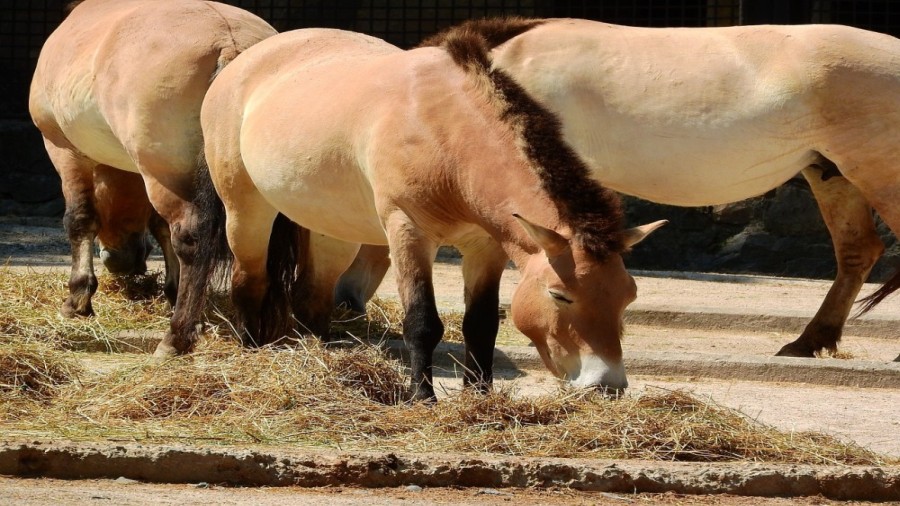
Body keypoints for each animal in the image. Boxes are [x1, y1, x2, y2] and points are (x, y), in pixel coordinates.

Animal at [29, 0, 276, 338]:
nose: (122, 262)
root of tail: (231, 42)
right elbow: (159, 227)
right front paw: (171, 293)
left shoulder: (64, 150)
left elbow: (80, 219)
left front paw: (78, 299)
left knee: (190, 238)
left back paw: (179, 332)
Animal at [196, 27, 664, 400]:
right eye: (560, 295)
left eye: (628, 296)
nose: (607, 384)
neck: (444, 130)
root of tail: (242, 62)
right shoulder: (409, 232)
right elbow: (422, 322)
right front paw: (422, 398)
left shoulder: (485, 246)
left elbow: (481, 325)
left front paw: (479, 395)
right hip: (246, 209)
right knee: (249, 281)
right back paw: (251, 352)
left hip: (333, 230)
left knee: (311, 296)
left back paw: (321, 362)